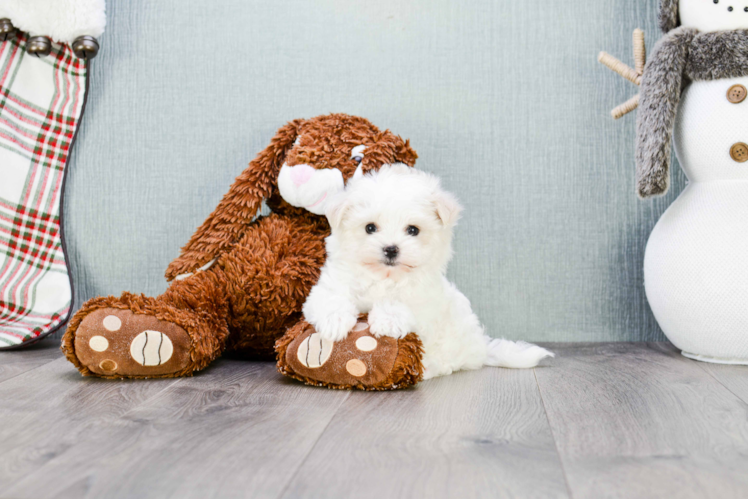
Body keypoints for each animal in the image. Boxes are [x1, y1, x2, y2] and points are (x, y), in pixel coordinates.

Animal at [300, 164, 552, 378]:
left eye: (413, 230)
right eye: (370, 228)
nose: (391, 249)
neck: (385, 277)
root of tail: (479, 346)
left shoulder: (425, 300)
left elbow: (403, 303)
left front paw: (387, 319)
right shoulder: (330, 285)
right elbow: (331, 299)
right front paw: (334, 322)